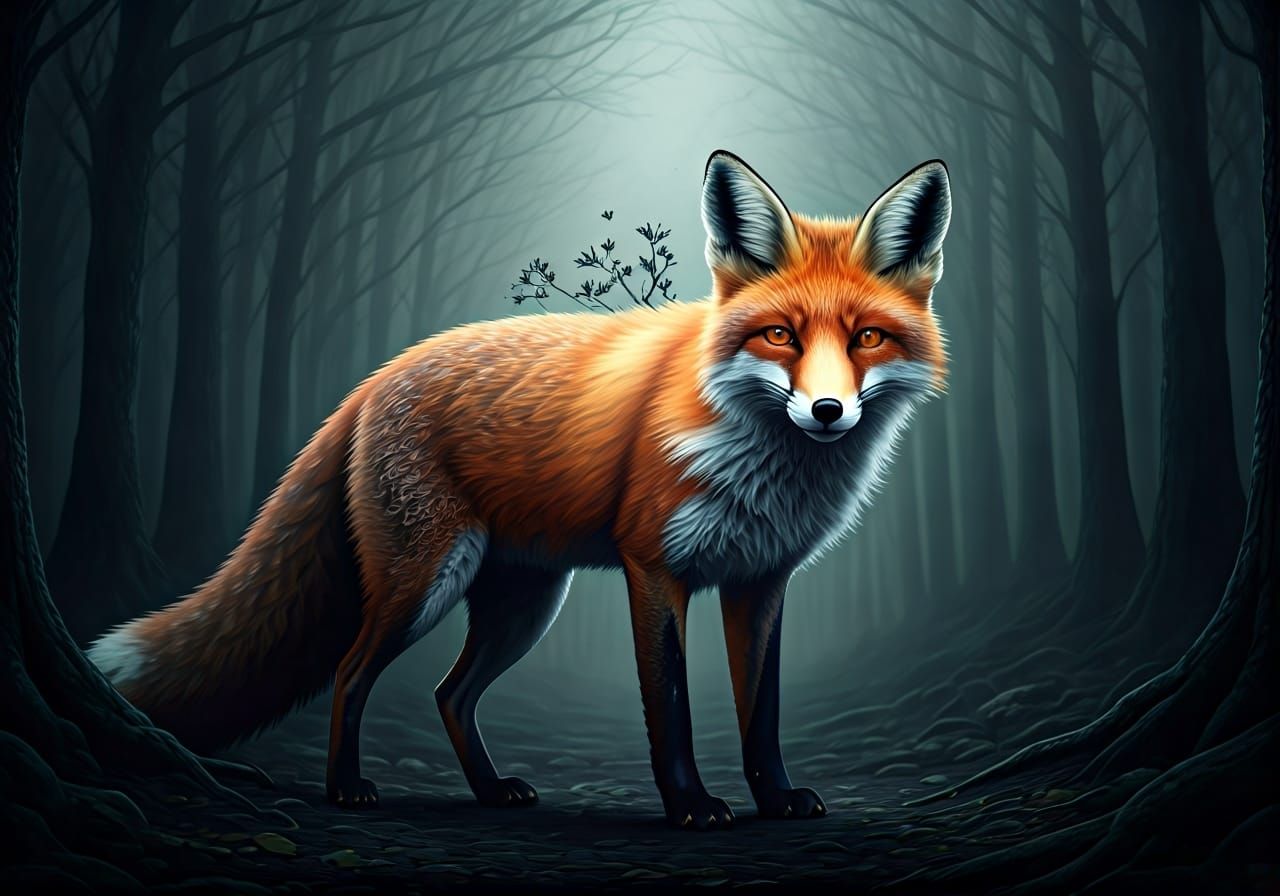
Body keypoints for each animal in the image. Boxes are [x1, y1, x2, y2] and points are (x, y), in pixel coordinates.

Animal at [89, 150, 950, 830]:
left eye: (867, 338)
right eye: (780, 336)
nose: (828, 411)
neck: (763, 467)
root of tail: (375, 379)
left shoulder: (760, 580)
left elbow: (761, 714)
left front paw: (774, 800)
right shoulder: (654, 569)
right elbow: (670, 706)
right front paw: (690, 807)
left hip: (524, 604)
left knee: (450, 694)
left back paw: (489, 790)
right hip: (425, 583)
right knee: (352, 672)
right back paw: (346, 788)